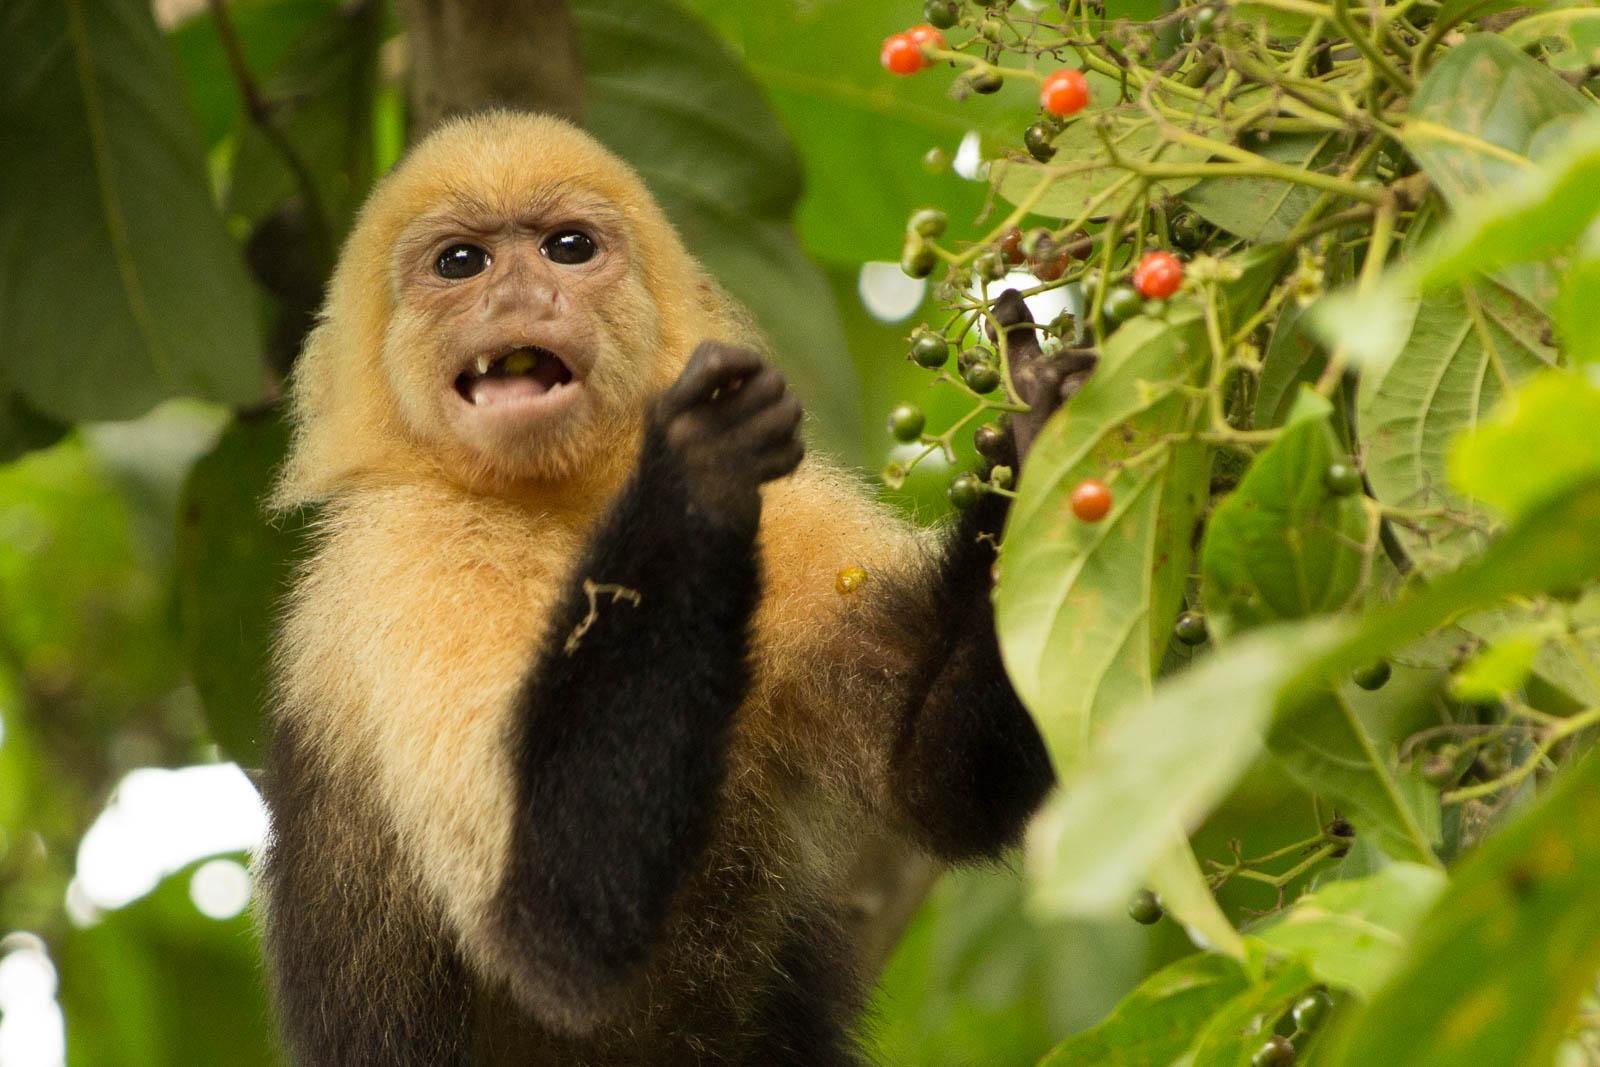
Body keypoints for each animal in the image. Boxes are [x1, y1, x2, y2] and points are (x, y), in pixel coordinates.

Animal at [258, 110, 1067, 1066]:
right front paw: (695, 468)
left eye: (567, 248)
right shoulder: (408, 550)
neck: (566, 500)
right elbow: (548, 918)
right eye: (462, 263)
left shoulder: (790, 522)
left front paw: (1042, 426)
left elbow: (934, 780)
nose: (520, 298)